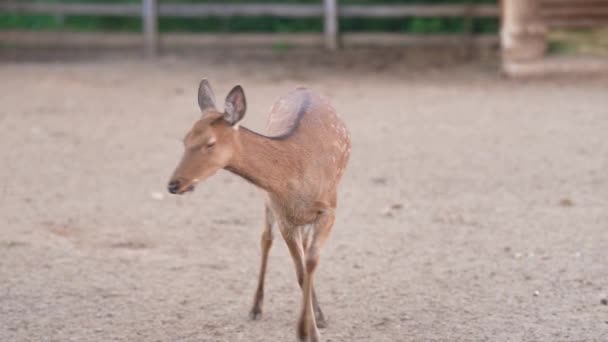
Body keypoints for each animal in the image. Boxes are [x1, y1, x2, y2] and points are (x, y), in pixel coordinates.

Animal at [169, 79, 352, 340]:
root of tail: (303, 88)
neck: (296, 172)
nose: (173, 184)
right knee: (266, 238)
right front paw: (307, 329)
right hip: (268, 201)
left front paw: (312, 328)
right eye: (185, 140)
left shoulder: (329, 208)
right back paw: (256, 307)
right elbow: (300, 271)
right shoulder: (283, 215)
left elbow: (311, 262)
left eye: (210, 143)